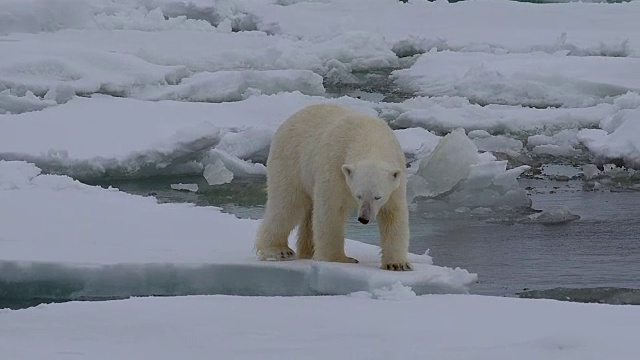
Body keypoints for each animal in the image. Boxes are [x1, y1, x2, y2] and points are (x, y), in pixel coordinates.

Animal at [252, 102, 412, 272]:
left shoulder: (397, 178)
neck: (369, 137)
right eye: (358, 195)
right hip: (291, 161)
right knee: (287, 204)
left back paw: (308, 251)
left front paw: (398, 264)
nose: (363, 218)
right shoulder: (335, 166)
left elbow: (393, 214)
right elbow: (331, 209)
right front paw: (339, 259)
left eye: (378, 196)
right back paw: (278, 250)